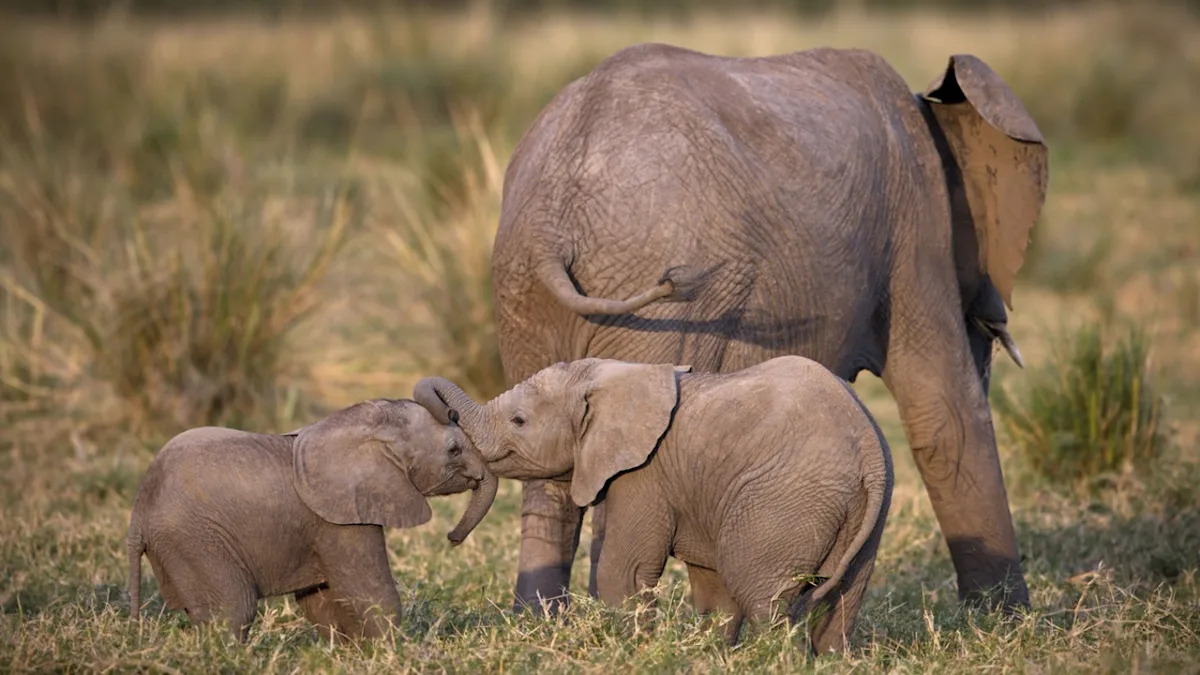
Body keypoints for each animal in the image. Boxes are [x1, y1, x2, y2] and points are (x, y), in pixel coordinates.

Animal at [126, 398, 498, 641]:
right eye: (453, 450)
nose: (452, 538)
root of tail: (138, 514)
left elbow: (321, 600)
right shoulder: (340, 516)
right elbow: (371, 593)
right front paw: (401, 654)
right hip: (195, 538)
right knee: (235, 607)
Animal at [413, 355, 894, 651]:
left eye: (519, 421)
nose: (452, 537)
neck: (615, 376)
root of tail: (868, 449)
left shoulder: (643, 475)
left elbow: (624, 569)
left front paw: (629, 650)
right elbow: (711, 585)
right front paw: (708, 654)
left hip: (784, 501)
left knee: (763, 595)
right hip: (863, 510)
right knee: (840, 600)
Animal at [486, 44, 1045, 612]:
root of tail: (553, 220)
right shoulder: (916, 227)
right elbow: (944, 415)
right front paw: (1005, 619)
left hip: (524, 284)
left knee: (549, 471)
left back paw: (547, 619)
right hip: (663, 292)